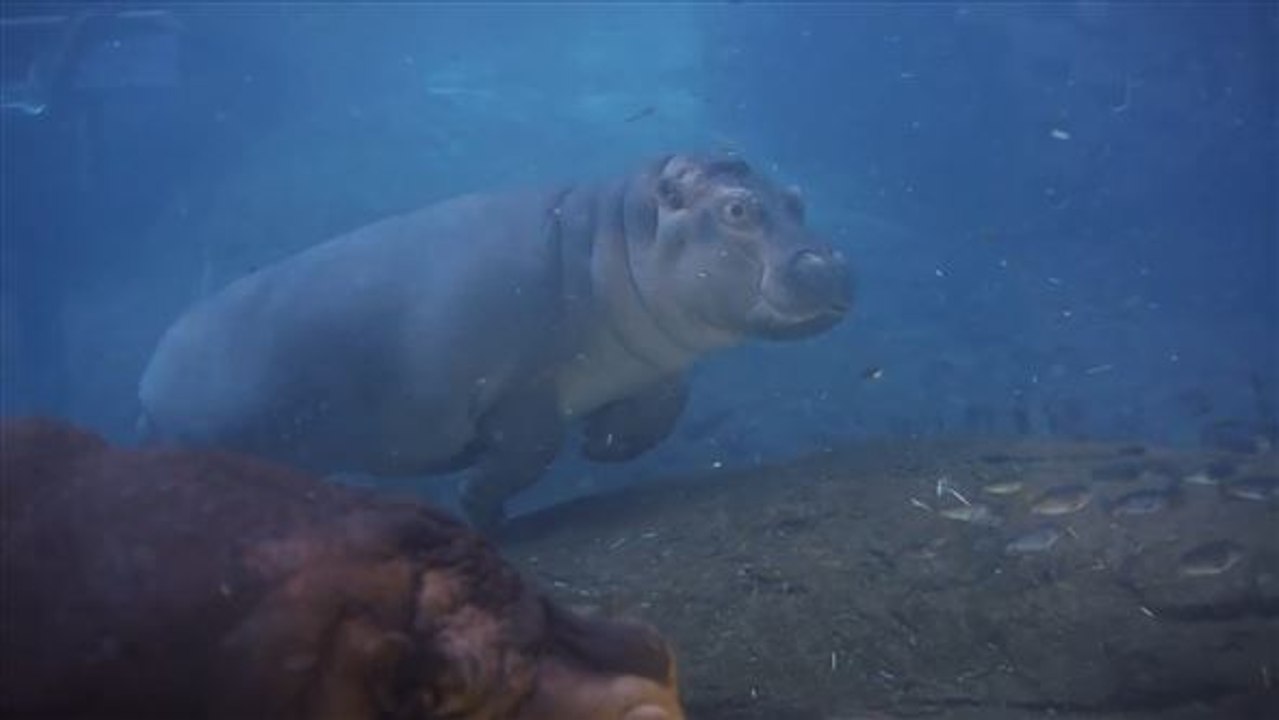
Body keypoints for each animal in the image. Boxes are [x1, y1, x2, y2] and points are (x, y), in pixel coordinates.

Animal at [138, 153, 852, 529]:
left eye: (796, 198)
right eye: (737, 209)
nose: (833, 263)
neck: (614, 237)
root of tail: (148, 377)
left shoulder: (652, 368)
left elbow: (660, 415)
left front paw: (603, 444)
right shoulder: (521, 387)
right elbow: (531, 451)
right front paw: (478, 509)